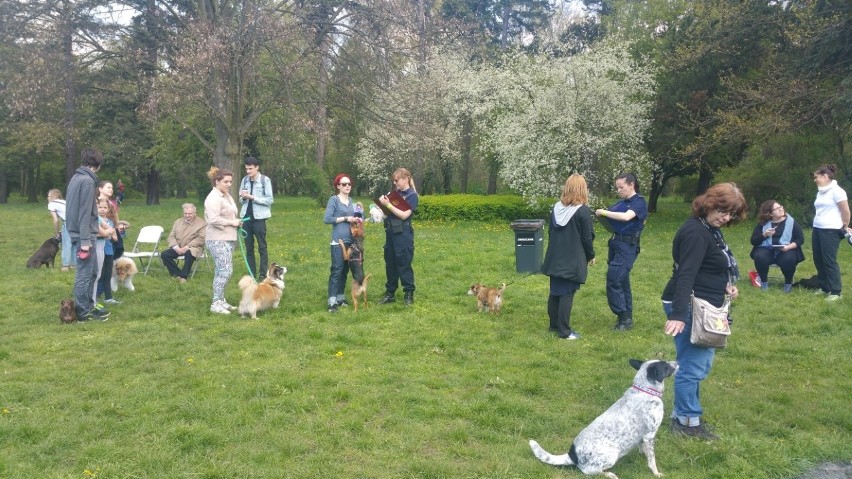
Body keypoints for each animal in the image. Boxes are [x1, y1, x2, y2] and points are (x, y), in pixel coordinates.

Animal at [528, 360, 684, 479]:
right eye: (665, 366)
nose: (677, 362)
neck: (645, 390)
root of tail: (572, 455)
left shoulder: (644, 437)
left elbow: (644, 450)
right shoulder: (649, 435)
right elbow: (652, 461)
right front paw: (656, 473)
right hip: (611, 455)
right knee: (588, 471)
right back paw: (609, 474)